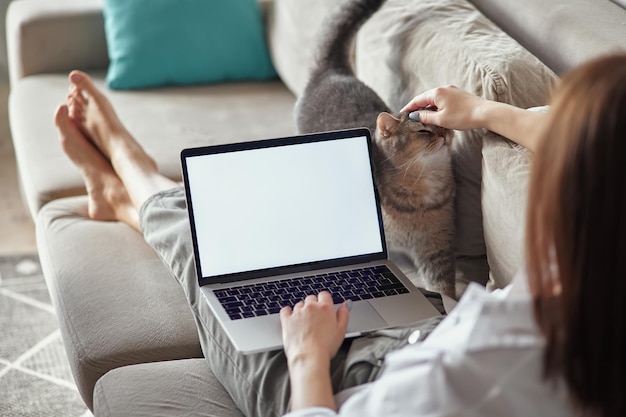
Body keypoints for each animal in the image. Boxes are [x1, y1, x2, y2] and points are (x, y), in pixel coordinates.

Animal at [294, 0, 456, 298]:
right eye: (423, 130)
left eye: (440, 122)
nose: (444, 134)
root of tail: (334, 71)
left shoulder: (437, 247)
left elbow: (444, 289)